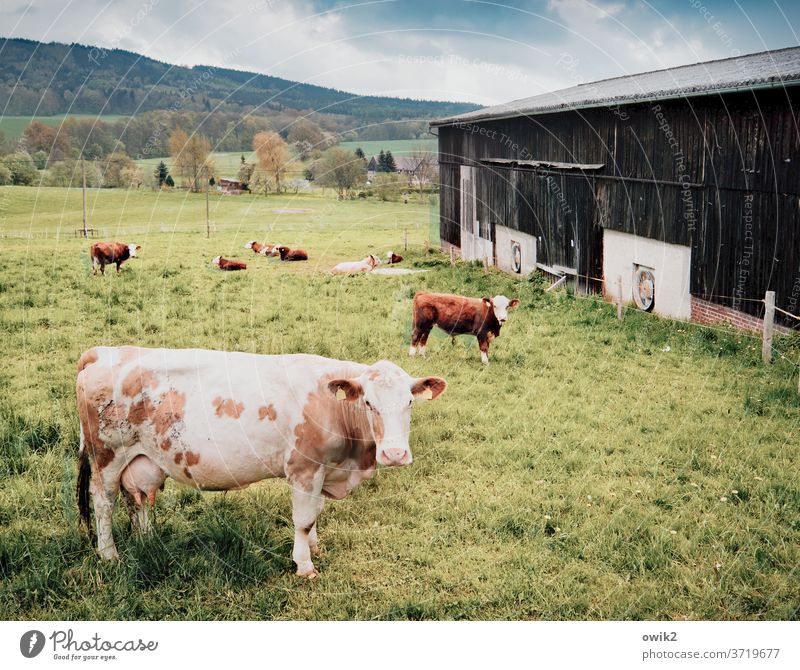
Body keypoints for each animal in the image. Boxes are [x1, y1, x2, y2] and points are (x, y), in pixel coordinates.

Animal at [73, 346, 450, 576]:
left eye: (410, 403)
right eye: (369, 403)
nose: (394, 454)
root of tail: (103, 351)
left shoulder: (322, 471)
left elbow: (315, 514)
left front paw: (315, 548)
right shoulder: (304, 470)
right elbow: (303, 520)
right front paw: (304, 564)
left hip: (138, 458)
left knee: (135, 498)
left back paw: (147, 540)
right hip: (106, 455)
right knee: (104, 502)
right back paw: (109, 554)